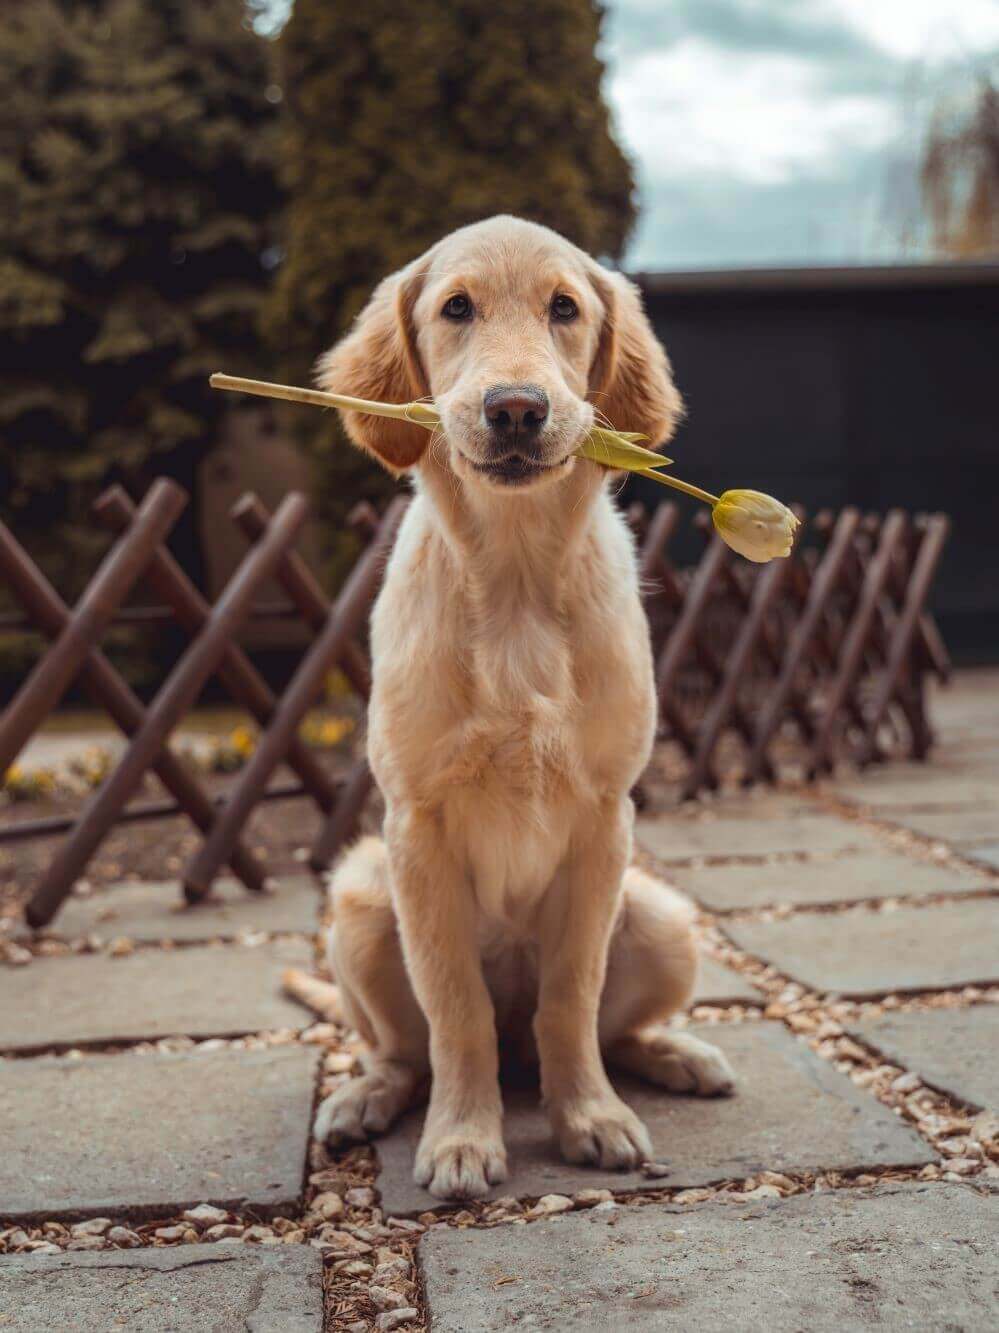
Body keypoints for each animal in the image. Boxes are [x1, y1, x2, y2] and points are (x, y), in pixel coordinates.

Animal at [296, 215, 730, 1199]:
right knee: (407, 1048)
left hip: (661, 916)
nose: (518, 409)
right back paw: (362, 1099)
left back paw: (673, 1054)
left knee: (601, 1028)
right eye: (456, 308)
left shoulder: (605, 818)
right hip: (361, 897)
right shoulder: (415, 826)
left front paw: (590, 1117)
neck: (519, 577)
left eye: (563, 308)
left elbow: (571, 996)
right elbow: (455, 1009)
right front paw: (463, 1137)